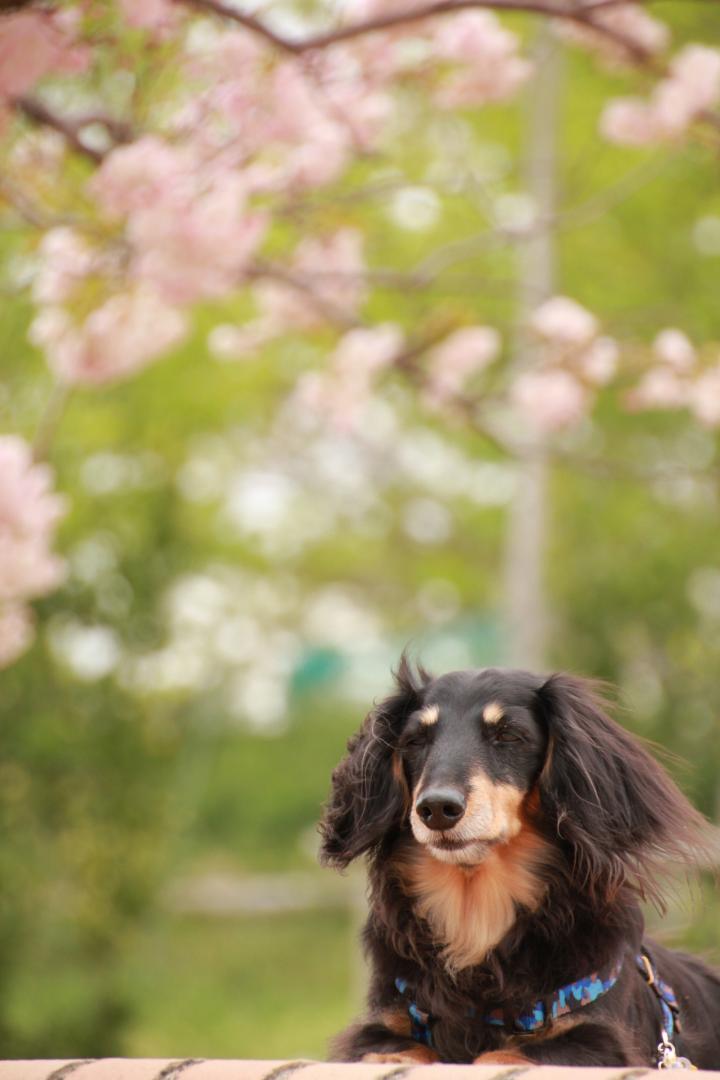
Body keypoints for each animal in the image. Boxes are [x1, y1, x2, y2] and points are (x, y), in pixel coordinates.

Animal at [319, 652, 720, 1067]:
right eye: (415, 740)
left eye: (508, 735)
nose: (436, 809)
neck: (476, 916)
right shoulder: (381, 1024)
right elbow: (394, 1047)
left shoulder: (600, 1041)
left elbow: (501, 1055)